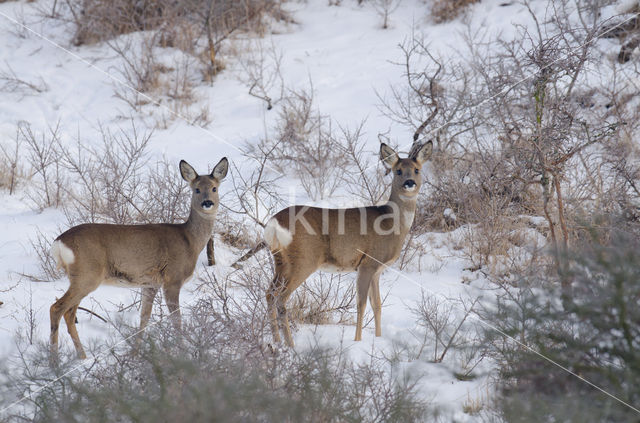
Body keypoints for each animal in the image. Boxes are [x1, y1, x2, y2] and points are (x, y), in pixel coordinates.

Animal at [50, 157, 230, 360]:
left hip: (81, 278)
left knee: (69, 313)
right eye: (196, 189)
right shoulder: (172, 279)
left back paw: (82, 357)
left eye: (214, 188)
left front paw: (135, 354)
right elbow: (176, 320)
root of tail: (59, 243)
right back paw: (55, 361)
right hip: (87, 275)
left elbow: (144, 318)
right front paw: (183, 354)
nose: (207, 203)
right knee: (57, 308)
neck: (189, 240)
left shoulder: (150, 284)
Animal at [262, 142, 432, 348]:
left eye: (417, 170)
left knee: (270, 294)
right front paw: (357, 341)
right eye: (398, 170)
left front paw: (378, 338)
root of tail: (273, 224)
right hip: (303, 260)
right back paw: (290, 345)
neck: (390, 222)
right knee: (281, 299)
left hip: (280, 261)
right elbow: (361, 303)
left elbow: (377, 305)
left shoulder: (377, 270)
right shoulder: (367, 263)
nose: (409, 183)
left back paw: (276, 342)